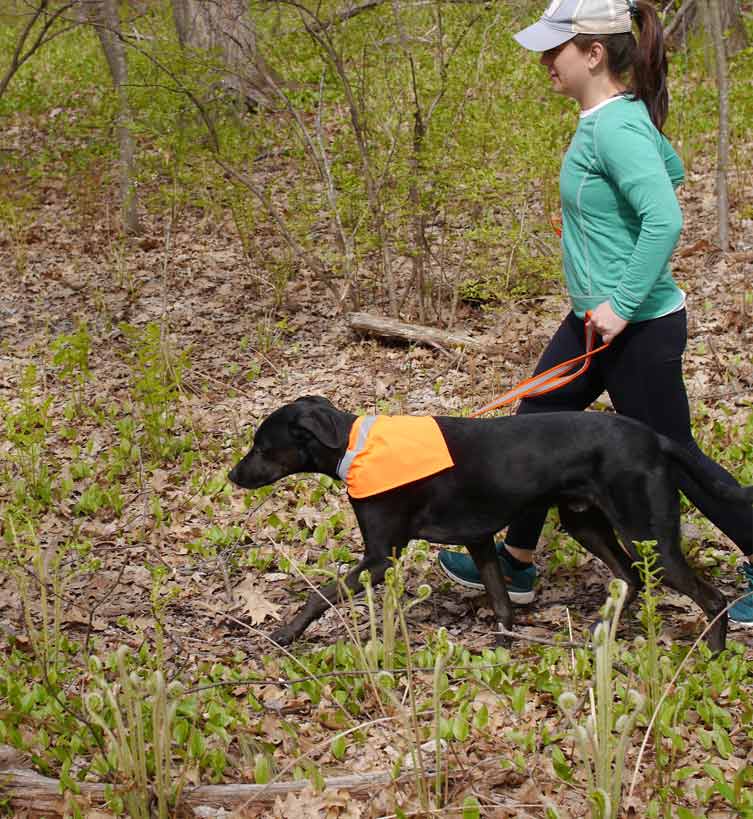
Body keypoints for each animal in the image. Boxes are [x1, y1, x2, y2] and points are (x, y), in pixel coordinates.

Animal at [229, 394, 752, 652]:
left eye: (260, 446)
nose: (232, 475)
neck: (356, 446)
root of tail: (655, 438)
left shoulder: (380, 558)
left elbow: (320, 595)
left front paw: (286, 635)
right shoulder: (478, 540)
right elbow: (501, 601)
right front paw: (506, 644)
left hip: (650, 540)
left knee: (711, 597)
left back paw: (714, 651)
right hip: (585, 523)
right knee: (629, 579)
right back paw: (599, 637)